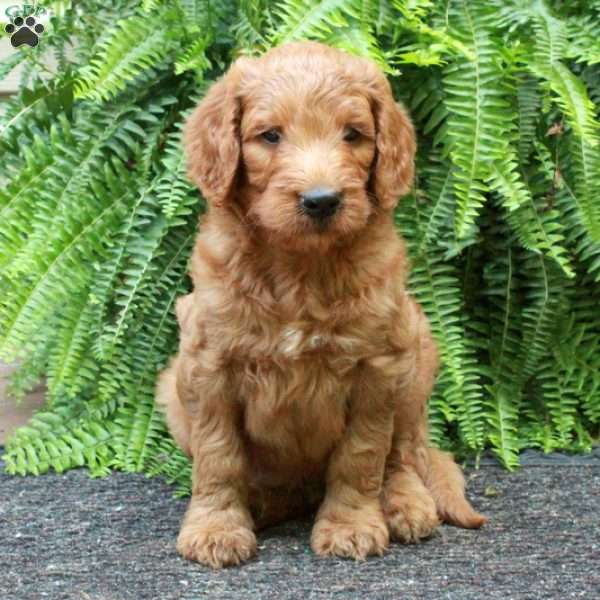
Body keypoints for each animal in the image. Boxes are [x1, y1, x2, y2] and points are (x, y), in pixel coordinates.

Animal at [157, 41, 486, 568]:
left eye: (353, 134)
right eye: (269, 136)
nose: (321, 200)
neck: (301, 269)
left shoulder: (377, 367)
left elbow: (361, 456)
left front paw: (351, 525)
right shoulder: (207, 365)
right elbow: (218, 455)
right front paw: (215, 527)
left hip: (417, 350)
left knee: (407, 452)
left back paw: (405, 506)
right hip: (170, 388)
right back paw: (262, 505)